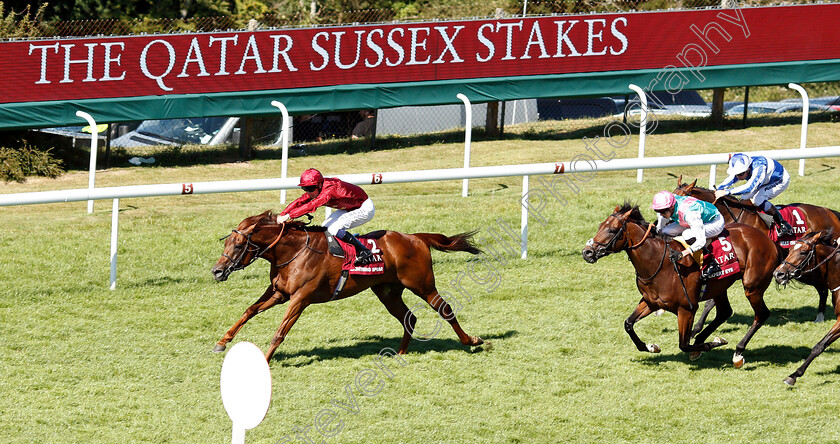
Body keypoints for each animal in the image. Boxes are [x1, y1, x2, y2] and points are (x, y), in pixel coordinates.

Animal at [210, 210, 486, 362]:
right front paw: (222, 342)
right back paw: (400, 353)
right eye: (226, 244)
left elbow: (280, 332)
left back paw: (472, 341)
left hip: (423, 285)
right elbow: (249, 311)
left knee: (445, 309)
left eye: (237, 245)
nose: (217, 271)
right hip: (388, 291)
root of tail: (416, 238)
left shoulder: (301, 297)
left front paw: (265, 360)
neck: (294, 251)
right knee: (409, 316)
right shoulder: (279, 292)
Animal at [580, 203, 776, 366]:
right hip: (719, 286)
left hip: (752, 287)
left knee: (761, 314)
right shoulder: (651, 302)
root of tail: (766, 237)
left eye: (612, 230)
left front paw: (712, 343)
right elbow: (628, 324)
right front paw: (651, 346)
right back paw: (702, 338)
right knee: (724, 312)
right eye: (600, 226)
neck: (658, 262)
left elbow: (683, 344)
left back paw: (738, 352)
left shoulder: (687, 309)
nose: (587, 252)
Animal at [672, 175, 840, 324]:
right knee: (822, 287)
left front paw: (698, 326)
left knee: (822, 287)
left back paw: (820, 316)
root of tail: (831, 212)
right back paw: (820, 316)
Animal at [772, 231, 840, 386]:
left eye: (803, 252)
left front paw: (793, 375)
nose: (778, 274)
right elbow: (820, 345)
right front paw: (793, 375)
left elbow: (820, 345)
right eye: (790, 249)